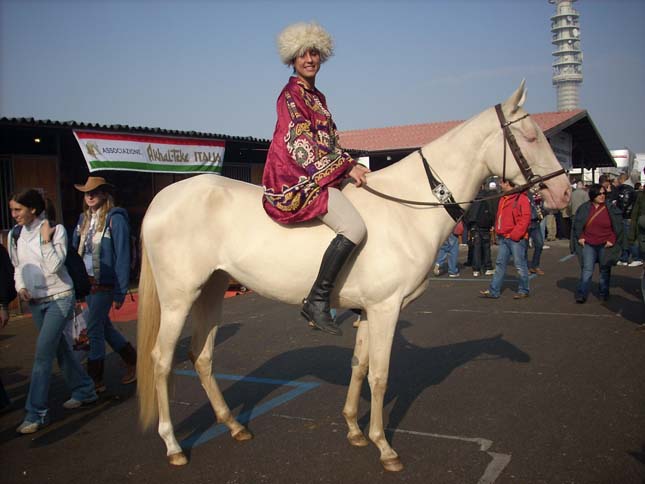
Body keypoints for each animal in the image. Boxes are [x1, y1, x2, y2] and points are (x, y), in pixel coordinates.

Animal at [135, 81, 568, 470]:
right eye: (531, 136)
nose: (562, 193)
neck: (410, 207)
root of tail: (162, 198)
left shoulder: (368, 311)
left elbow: (359, 366)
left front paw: (355, 431)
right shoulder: (385, 308)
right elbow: (380, 375)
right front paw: (384, 447)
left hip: (211, 290)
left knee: (202, 356)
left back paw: (233, 426)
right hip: (179, 299)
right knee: (162, 360)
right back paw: (173, 445)